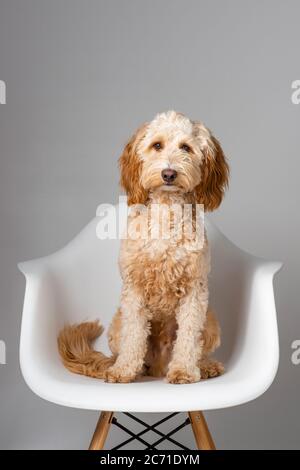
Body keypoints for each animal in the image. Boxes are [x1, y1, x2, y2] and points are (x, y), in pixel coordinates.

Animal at [57, 112, 229, 384]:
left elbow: (189, 336)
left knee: (197, 345)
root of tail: (159, 366)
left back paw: (204, 366)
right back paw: (132, 367)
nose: (169, 173)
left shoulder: (194, 290)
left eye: (186, 148)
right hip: (117, 323)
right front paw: (124, 370)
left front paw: (184, 371)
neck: (166, 213)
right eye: (157, 145)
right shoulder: (134, 290)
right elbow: (134, 335)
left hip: (210, 320)